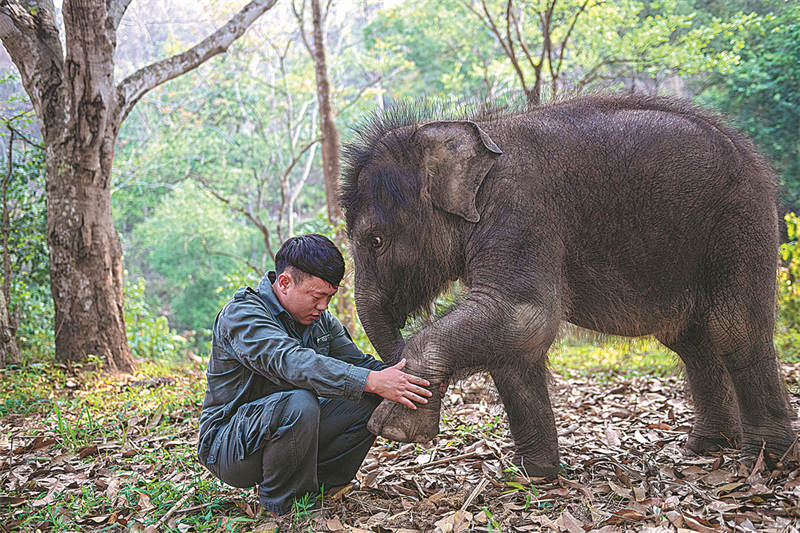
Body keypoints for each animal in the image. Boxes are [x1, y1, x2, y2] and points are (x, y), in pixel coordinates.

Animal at [338, 93, 792, 476]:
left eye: (375, 241)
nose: (392, 380)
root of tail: (754, 158)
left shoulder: (520, 211)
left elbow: (527, 317)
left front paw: (396, 429)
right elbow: (515, 346)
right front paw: (535, 474)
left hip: (740, 223)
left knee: (735, 330)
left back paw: (766, 461)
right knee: (691, 340)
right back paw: (707, 446)